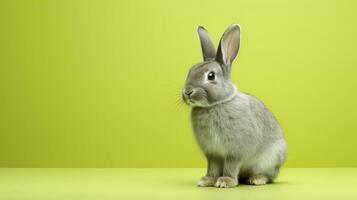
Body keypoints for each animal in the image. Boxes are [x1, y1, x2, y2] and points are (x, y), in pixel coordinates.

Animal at [182, 24, 286, 188]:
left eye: (211, 76)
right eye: (190, 70)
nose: (187, 92)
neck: (216, 104)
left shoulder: (235, 150)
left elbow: (231, 165)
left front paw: (225, 182)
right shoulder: (213, 152)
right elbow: (212, 167)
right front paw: (207, 180)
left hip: (270, 159)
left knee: (268, 176)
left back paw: (257, 179)